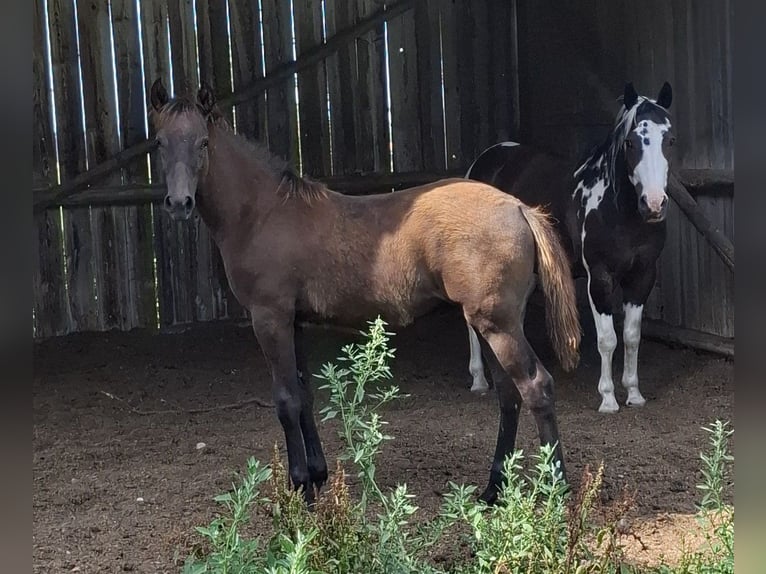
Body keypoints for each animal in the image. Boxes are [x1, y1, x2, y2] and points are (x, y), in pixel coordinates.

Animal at [148, 77, 581, 504]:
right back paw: (493, 489)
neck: (263, 213)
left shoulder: (270, 318)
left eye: (203, 142)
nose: (178, 202)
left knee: (536, 387)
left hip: (498, 325)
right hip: (490, 323)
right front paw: (317, 476)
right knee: (509, 395)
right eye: (160, 142)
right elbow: (305, 395)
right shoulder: (294, 322)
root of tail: (520, 209)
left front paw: (300, 487)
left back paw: (556, 491)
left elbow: (286, 400)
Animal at [463, 82, 675, 414]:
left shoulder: (642, 276)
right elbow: (607, 339)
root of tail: (483, 161)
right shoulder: (599, 278)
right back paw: (479, 380)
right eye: (630, 142)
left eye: (669, 139)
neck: (617, 209)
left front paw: (634, 393)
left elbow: (631, 336)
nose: (654, 204)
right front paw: (608, 399)